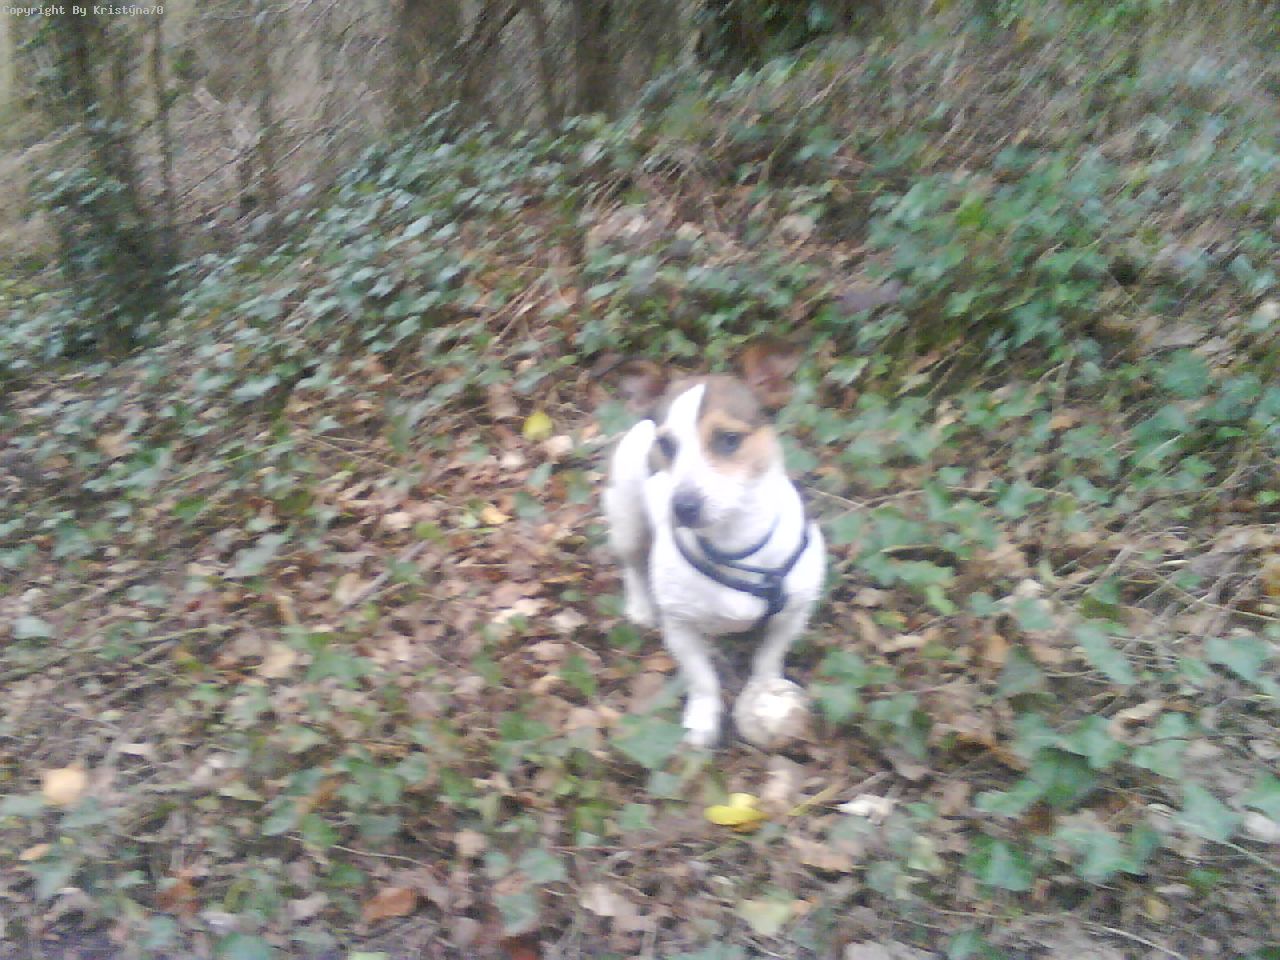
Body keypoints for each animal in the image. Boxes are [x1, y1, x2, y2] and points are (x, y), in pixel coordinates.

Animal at [603, 342, 825, 746]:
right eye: (666, 445)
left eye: (729, 439)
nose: (682, 506)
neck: (733, 544)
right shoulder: (680, 627)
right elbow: (702, 678)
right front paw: (702, 720)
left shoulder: (793, 615)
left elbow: (768, 658)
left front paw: (764, 691)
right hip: (627, 519)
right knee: (632, 564)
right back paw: (640, 605)